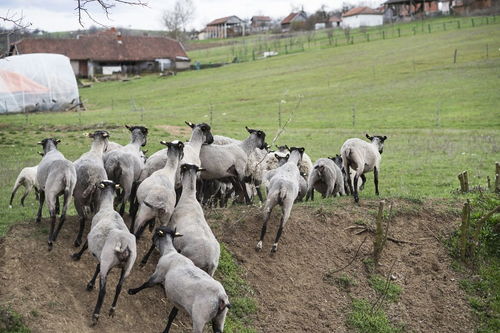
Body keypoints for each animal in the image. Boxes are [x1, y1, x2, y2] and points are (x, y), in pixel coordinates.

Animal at [71, 180, 136, 326]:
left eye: (97, 185)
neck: (107, 207)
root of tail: (124, 243)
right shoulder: (104, 259)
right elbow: (97, 267)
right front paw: (90, 284)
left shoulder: (92, 236)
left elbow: (85, 246)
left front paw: (77, 256)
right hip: (127, 267)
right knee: (119, 287)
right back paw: (112, 309)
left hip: (108, 260)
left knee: (103, 291)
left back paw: (95, 316)